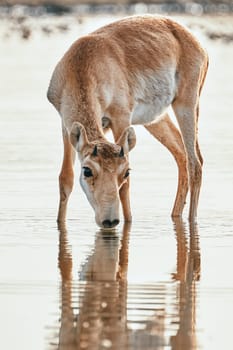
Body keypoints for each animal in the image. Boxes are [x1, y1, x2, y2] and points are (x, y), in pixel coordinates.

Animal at [47, 15, 208, 230]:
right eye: (87, 170)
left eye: (126, 172)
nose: (109, 220)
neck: (82, 65)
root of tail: (194, 41)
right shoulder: (66, 126)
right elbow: (66, 178)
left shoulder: (121, 118)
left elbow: (125, 188)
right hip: (156, 120)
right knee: (181, 154)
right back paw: (175, 216)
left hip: (187, 105)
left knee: (195, 162)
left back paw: (192, 222)